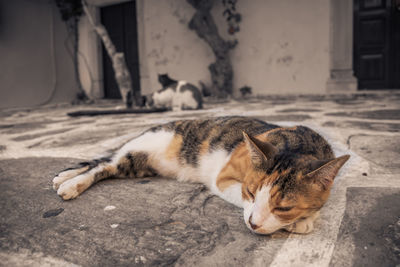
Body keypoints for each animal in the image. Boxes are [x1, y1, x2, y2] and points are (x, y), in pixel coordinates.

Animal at [54, 116, 350, 234]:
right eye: (250, 192)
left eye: (284, 206)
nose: (253, 224)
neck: (300, 145)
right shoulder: (224, 179)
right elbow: (241, 201)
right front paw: (297, 223)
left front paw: (303, 220)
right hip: (143, 146)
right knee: (102, 164)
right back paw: (70, 183)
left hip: (136, 165)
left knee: (106, 165)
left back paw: (66, 177)